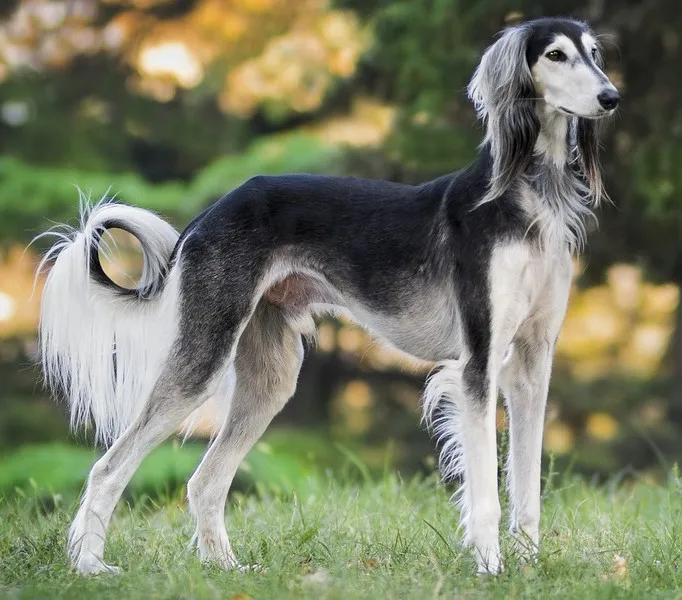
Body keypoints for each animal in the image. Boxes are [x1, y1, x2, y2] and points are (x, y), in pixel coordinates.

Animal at [36, 17, 619, 575]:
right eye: (555, 55)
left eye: (595, 53)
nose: (611, 97)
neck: (527, 195)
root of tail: (209, 214)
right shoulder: (478, 363)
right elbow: (486, 494)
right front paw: (491, 567)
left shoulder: (531, 364)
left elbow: (527, 487)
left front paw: (529, 565)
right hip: (204, 355)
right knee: (108, 466)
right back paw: (89, 564)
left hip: (271, 376)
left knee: (205, 481)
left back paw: (227, 568)